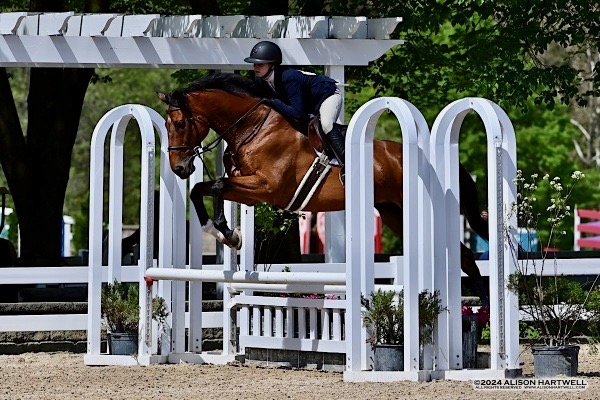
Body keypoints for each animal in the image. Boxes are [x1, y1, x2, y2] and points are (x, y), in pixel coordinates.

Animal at [159, 72, 492, 304]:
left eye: (179, 123)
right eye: (166, 125)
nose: (179, 168)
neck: (253, 126)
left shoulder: (267, 188)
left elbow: (216, 185)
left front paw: (230, 235)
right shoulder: (248, 190)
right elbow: (202, 189)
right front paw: (220, 232)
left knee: (460, 254)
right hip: (392, 213)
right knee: (464, 256)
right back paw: (485, 309)